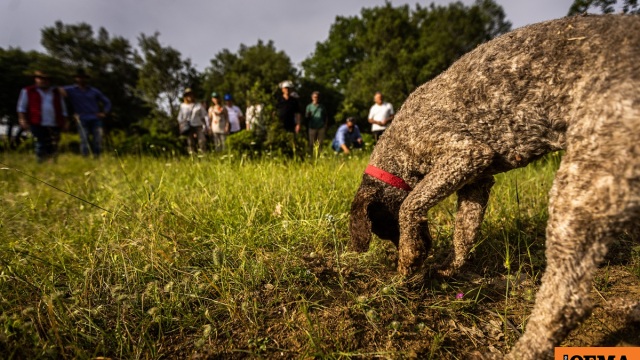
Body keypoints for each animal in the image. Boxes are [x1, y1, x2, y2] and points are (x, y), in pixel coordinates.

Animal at [350, 15, 640, 358]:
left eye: (387, 229)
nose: (424, 251)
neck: (398, 149)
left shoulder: (465, 155)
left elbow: (411, 205)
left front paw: (408, 261)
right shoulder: (476, 180)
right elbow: (464, 234)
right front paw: (448, 268)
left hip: (580, 185)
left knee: (566, 300)